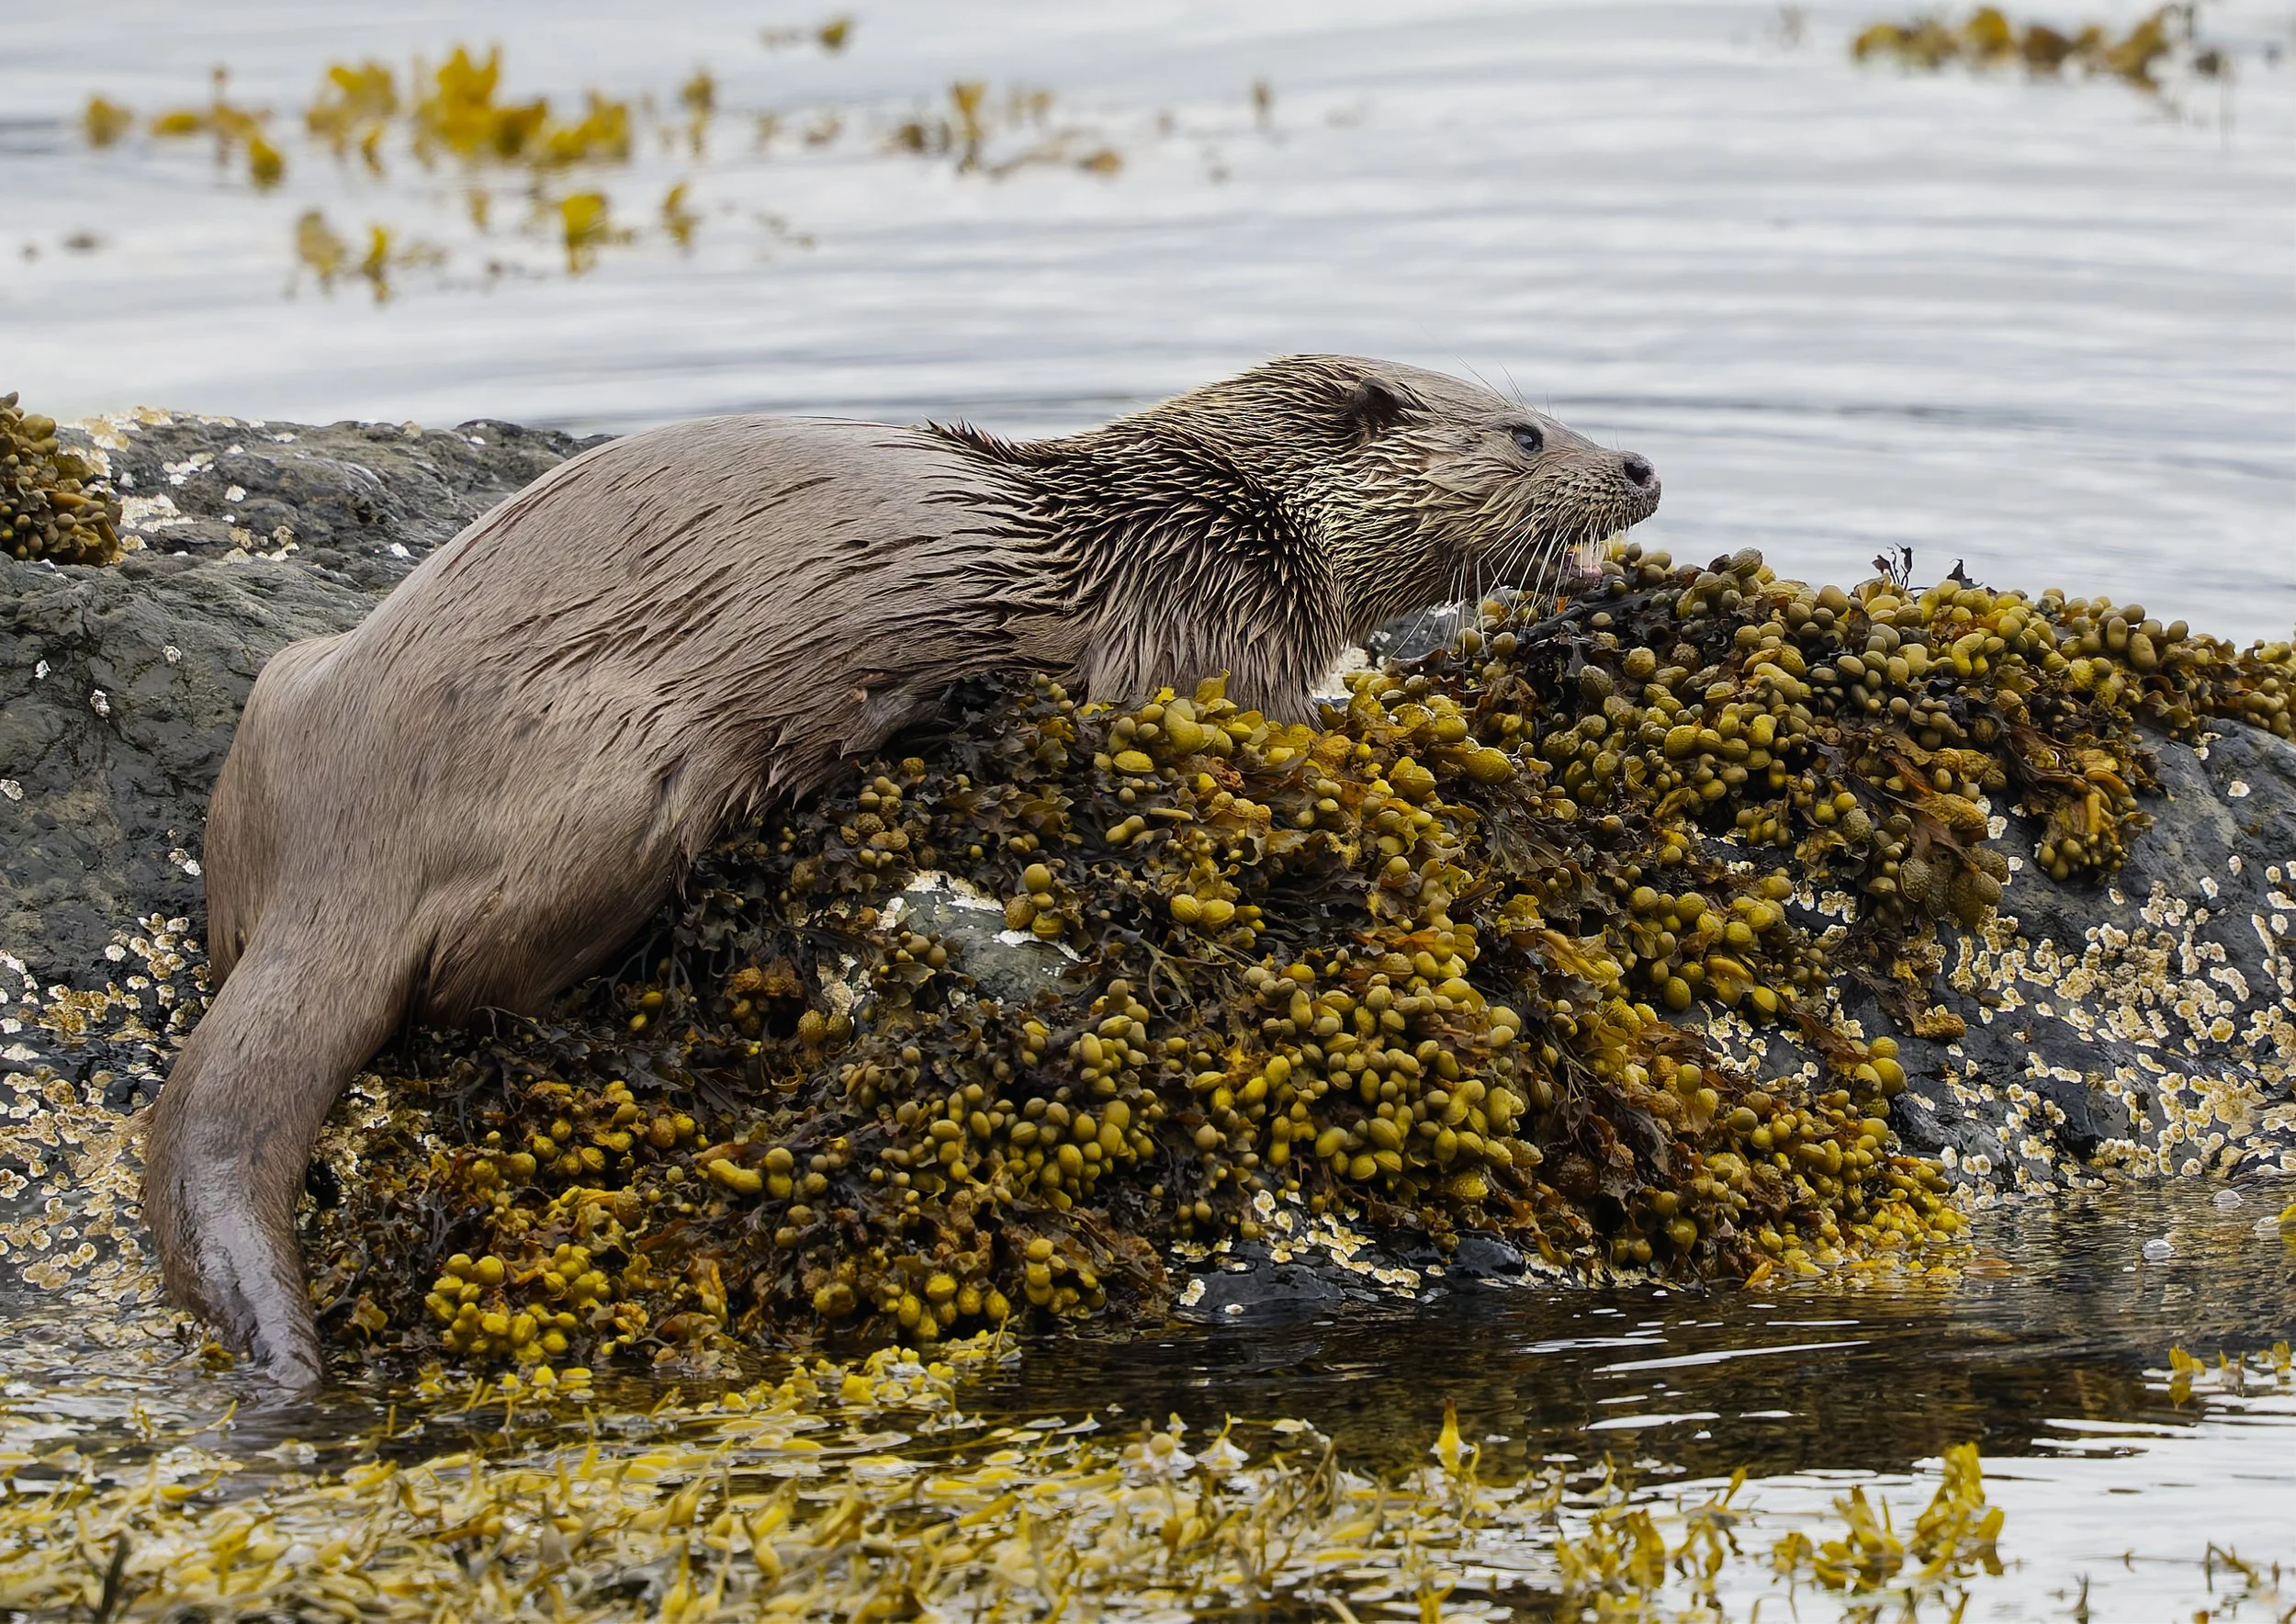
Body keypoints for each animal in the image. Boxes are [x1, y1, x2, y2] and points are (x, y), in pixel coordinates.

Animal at [144, 354, 1661, 1385]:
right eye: (1528, 431)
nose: (1644, 465)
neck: (1220, 518)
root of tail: (345, 845)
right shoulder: (1205, 640)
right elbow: (1299, 717)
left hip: (288, 690)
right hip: (623, 783)